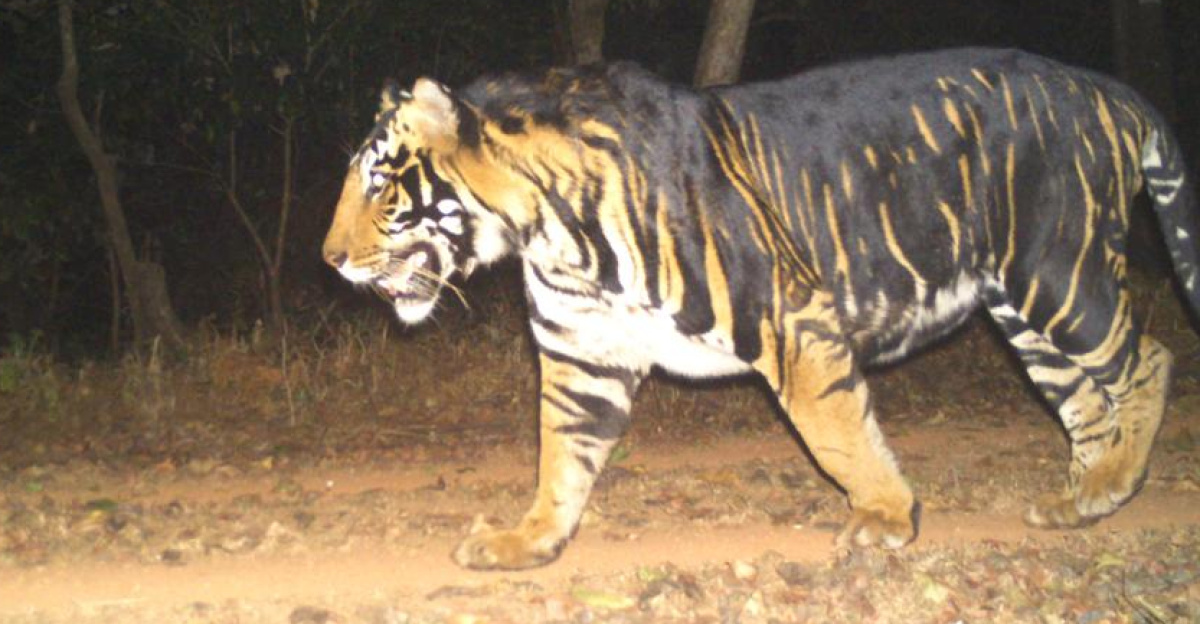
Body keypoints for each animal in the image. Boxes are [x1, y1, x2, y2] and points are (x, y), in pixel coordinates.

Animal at [322, 48, 1197, 570]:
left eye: (379, 181)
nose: (329, 259)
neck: (550, 235)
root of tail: (1103, 85)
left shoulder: (792, 321)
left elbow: (839, 436)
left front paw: (886, 518)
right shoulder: (582, 354)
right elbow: (561, 456)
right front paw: (526, 541)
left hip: (1060, 274)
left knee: (1148, 361)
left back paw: (1115, 480)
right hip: (1024, 312)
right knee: (1086, 401)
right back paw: (1084, 500)